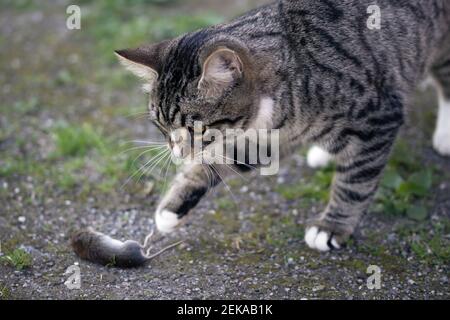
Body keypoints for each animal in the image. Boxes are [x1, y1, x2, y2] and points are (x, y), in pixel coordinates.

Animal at [74, 0, 450, 264]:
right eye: (160, 125)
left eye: (196, 126)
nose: (176, 152)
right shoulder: (263, 137)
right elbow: (215, 162)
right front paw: (173, 208)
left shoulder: (378, 116)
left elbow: (355, 183)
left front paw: (332, 227)